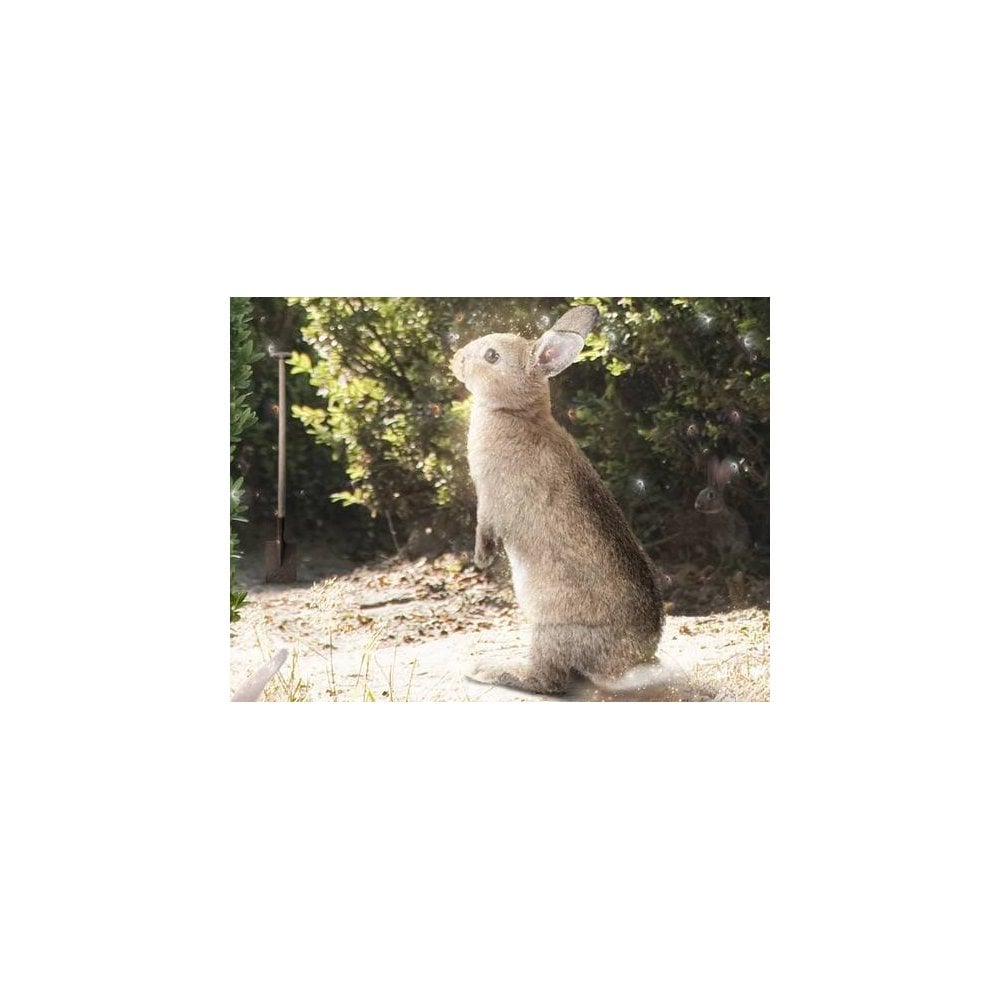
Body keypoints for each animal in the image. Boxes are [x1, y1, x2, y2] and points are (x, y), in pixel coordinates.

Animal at [450, 304, 664, 695]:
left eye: (492, 356)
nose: (456, 358)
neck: (515, 413)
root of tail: (629, 666)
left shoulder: (489, 497)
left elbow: (484, 526)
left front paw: (481, 560)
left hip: (551, 631)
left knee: (548, 680)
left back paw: (488, 668)